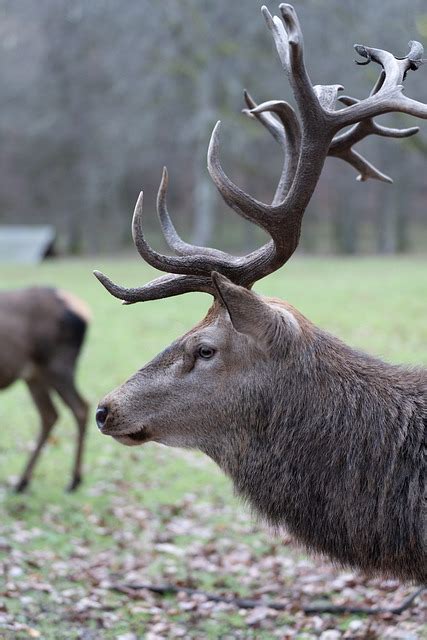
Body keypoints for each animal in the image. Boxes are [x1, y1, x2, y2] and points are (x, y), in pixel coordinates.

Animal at [0, 284, 89, 490]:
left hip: (57, 365)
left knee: (81, 407)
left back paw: (74, 480)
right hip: (35, 375)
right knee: (50, 414)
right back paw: (22, 482)